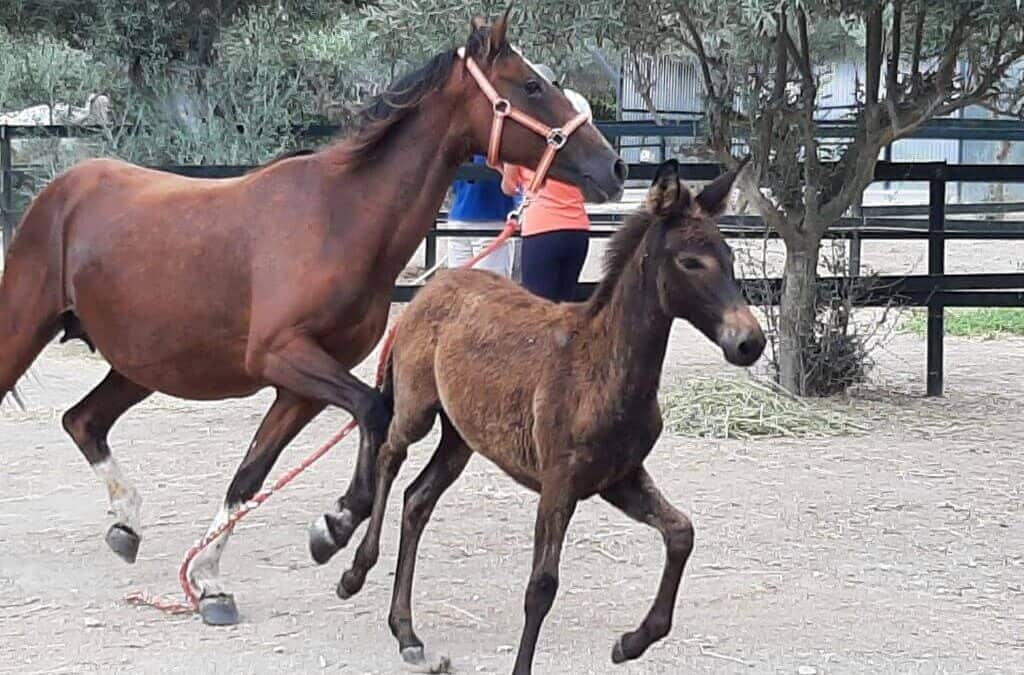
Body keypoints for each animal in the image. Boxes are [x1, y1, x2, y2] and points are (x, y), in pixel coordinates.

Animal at [0, 14, 626, 626]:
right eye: (531, 86)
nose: (613, 166)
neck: (341, 216)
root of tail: (59, 191)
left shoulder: (299, 385)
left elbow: (251, 474)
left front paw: (211, 581)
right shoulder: (284, 356)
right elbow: (373, 410)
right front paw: (336, 524)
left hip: (142, 364)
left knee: (83, 421)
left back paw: (126, 525)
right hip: (25, 332)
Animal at [333, 159, 765, 674]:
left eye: (731, 258)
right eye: (690, 262)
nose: (750, 342)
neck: (600, 366)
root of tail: (430, 287)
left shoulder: (618, 477)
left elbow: (681, 533)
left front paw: (630, 643)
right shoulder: (560, 482)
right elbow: (541, 586)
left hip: (462, 437)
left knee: (417, 500)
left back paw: (405, 631)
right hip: (417, 409)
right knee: (388, 456)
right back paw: (353, 568)